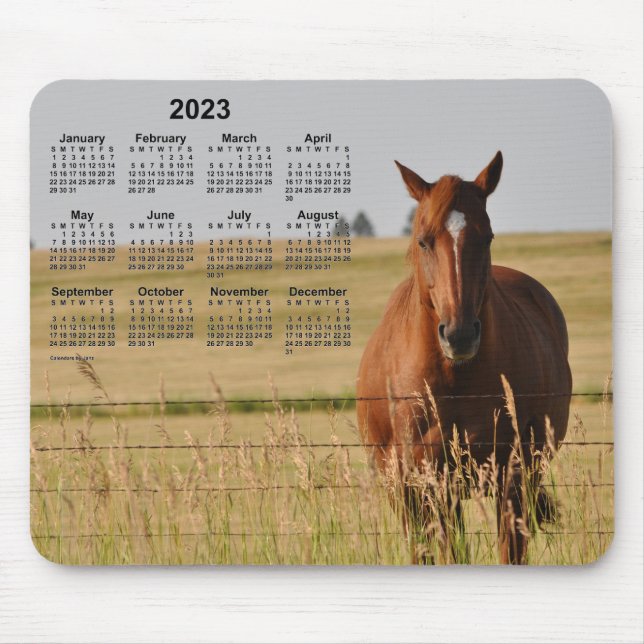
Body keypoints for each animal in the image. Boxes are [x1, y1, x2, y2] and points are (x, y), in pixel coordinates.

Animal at [356, 152, 572, 564]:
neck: (453, 380)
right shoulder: (416, 488)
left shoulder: (510, 478)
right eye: (423, 241)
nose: (459, 334)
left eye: (486, 238)